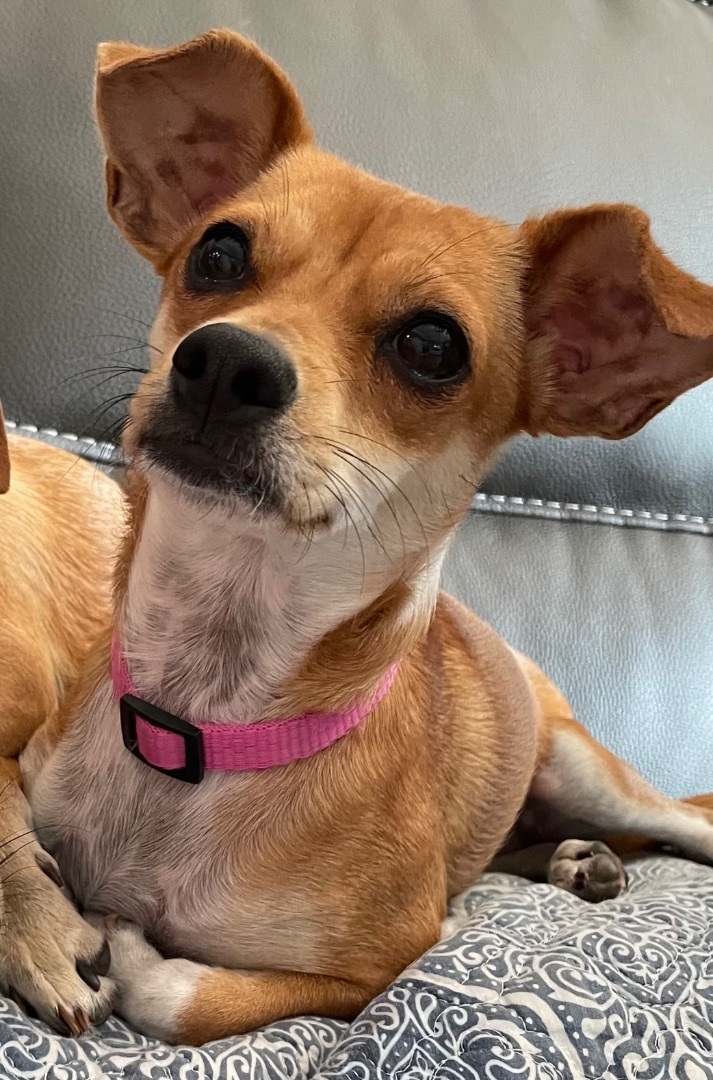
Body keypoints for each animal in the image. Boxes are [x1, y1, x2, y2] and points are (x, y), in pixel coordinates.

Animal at [3, 30, 713, 1044]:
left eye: (432, 346)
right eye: (219, 252)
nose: (223, 360)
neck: (210, 713)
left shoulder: (373, 967)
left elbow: (177, 993)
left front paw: (128, 944)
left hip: (587, 770)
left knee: (681, 819)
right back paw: (574, 861)